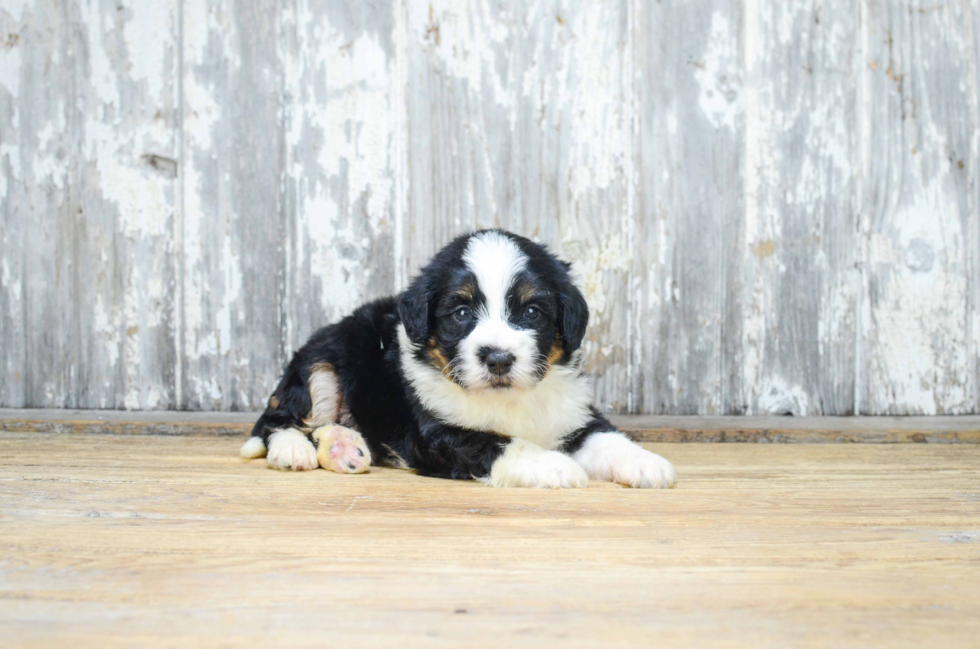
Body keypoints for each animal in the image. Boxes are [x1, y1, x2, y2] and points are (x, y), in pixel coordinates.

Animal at [241, 230, 676, 488]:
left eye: (531, 312)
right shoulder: (437, 431)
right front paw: (555, 466)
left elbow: (604, 435)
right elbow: (497, 443)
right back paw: (293, 450)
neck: (508, 399)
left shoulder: (572, 413)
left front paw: (645, 463)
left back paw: (344, 448)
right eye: (462, 313)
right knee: (276, 419)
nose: (498, 358)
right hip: (321, 364)